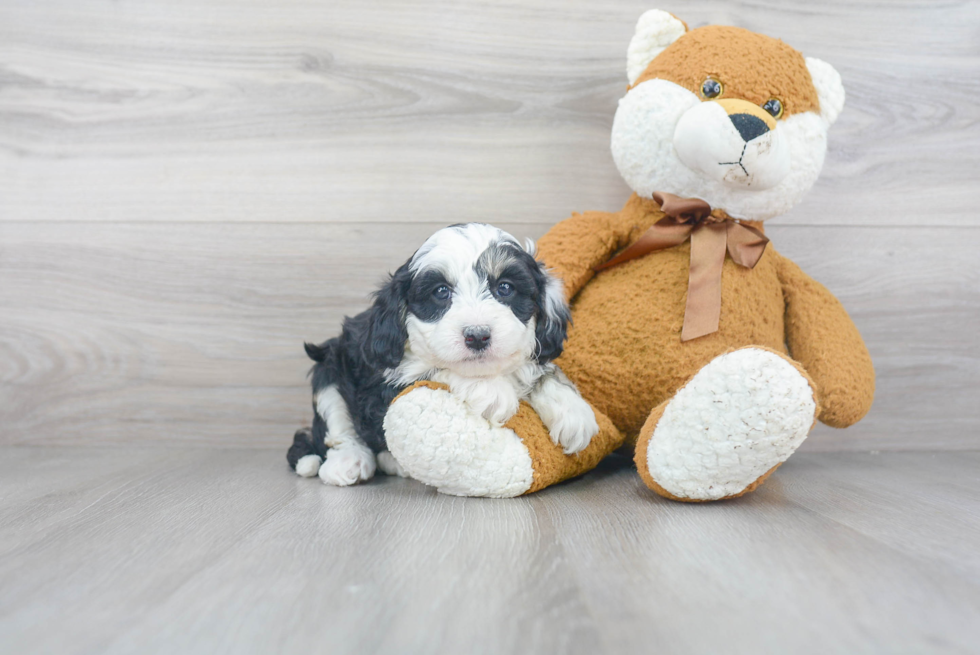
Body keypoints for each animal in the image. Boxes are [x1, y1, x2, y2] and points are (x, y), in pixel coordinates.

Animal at [288, 223, 600, 484]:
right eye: (441, 292)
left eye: (505, 287)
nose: (477, 335)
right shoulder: (384, 378)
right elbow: (439, 368)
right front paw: (490, 391)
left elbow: (540, 370)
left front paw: (573, 411)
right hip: (328, 367)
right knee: (337, 424)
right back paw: (349, 461)